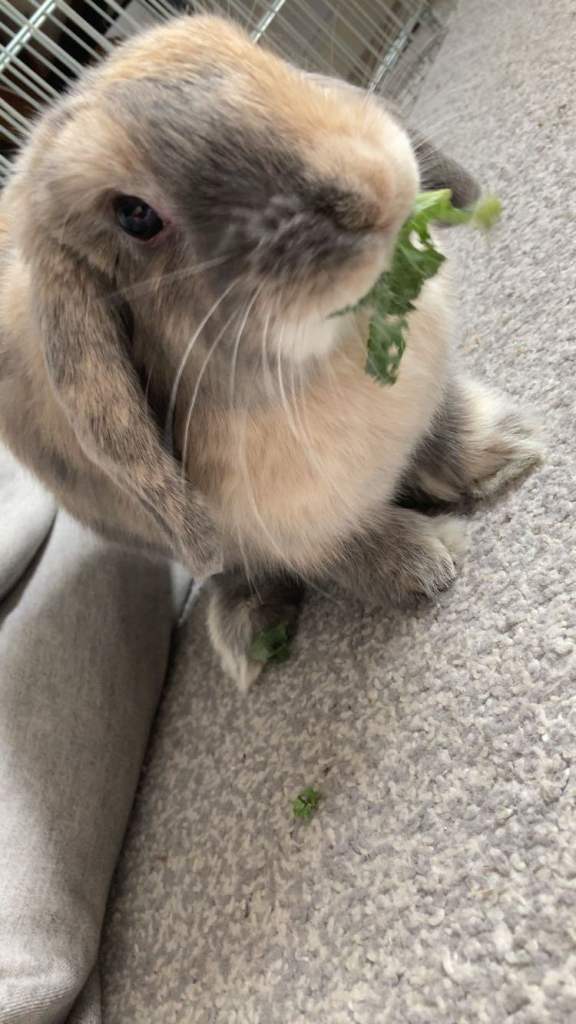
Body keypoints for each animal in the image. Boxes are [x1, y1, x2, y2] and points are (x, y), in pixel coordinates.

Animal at [0, 14, 543, 689]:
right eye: (135, 216)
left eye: (252, 53)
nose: (369, 189)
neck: (330, 352)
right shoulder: (287, 528)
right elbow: (342, 551)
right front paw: (429, 561)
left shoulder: (428, 398)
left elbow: (443, 428)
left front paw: (507, 450)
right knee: (229, 573)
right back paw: (249, 632)